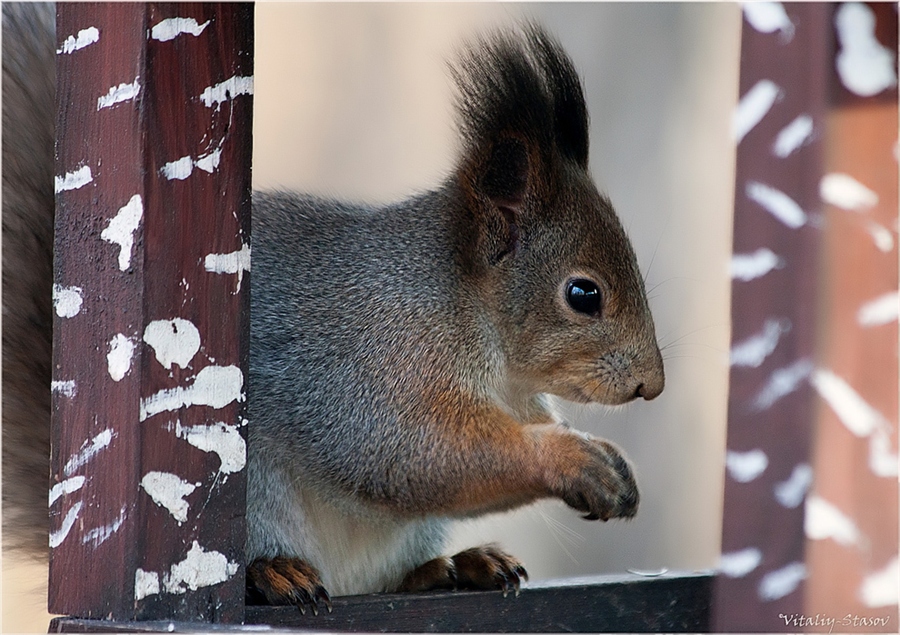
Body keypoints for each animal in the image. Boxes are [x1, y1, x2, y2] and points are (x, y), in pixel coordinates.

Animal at [1, 2, 660, 612]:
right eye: (584, 295)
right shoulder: (371, 362)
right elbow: (404, 450)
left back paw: (458, 566)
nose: (651, 384)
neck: (474, 320)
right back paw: (274, 573)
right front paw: (574, 459)